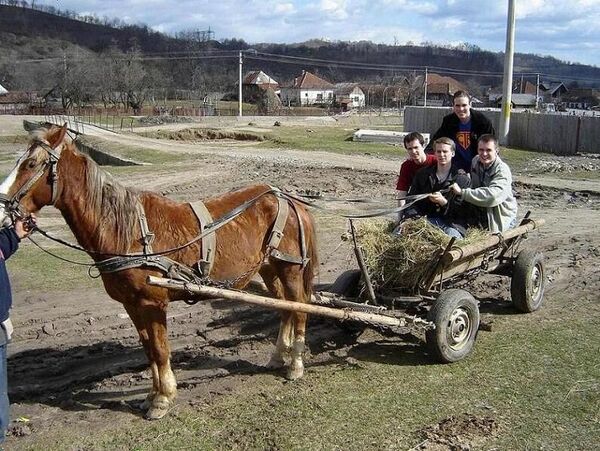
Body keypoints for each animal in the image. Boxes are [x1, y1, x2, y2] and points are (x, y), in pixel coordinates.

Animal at [0, 123, 318, 420]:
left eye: (31, 164)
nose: (2, 208)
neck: (128, 232)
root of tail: (287, 198)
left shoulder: (153, 303)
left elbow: (161, 349)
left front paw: (163, 399)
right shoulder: (132, 304)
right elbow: (149, 350)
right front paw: (152, 396)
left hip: (290, 268)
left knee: (300, 308)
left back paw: (295, 364)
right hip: (269, 268)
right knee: (285, 308)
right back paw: (278, 356)